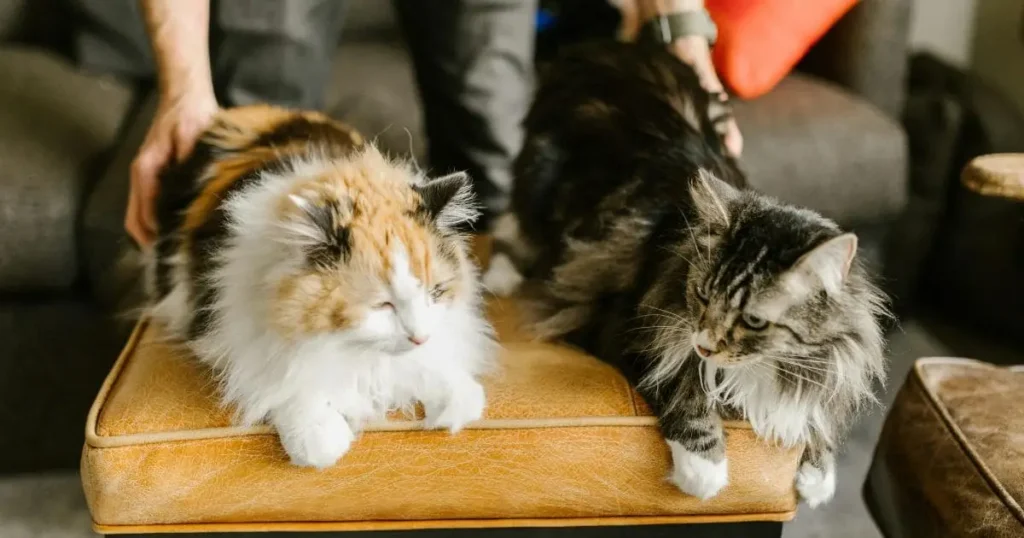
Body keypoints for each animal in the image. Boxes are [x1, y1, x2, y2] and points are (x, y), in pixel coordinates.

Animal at [143, 104, 495, 465]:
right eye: (382, 304)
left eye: (435, 293)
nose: (420, 337)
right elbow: (286, 382)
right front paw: (319, 437)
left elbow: (441, 375)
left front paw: (451, 401)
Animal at [481, 40, 888, 504]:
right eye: (703, 295)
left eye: (754, 321)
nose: (706, 345)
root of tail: (604, 47)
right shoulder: (624, 324)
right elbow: (684, 384)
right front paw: (704, 468)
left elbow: (815, 412)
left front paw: (819, 474)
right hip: (541, 184)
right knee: (510, 226)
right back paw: (500, 278)